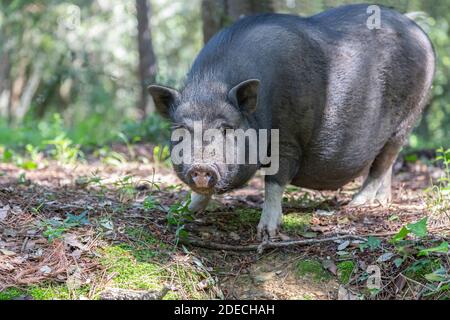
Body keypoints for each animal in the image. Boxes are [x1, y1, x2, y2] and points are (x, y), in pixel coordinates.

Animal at [149, 4, 436, 240]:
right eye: (181, 129)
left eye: (227, 128)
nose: (201, 167)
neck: (213, 84)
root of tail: (416, 27)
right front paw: (182, 212)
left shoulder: (288, 137)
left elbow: (274, 181)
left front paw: (266, 233)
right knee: (386, 165)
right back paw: (380, 202)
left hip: (409, 116)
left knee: (384, 161)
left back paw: (357, 204)